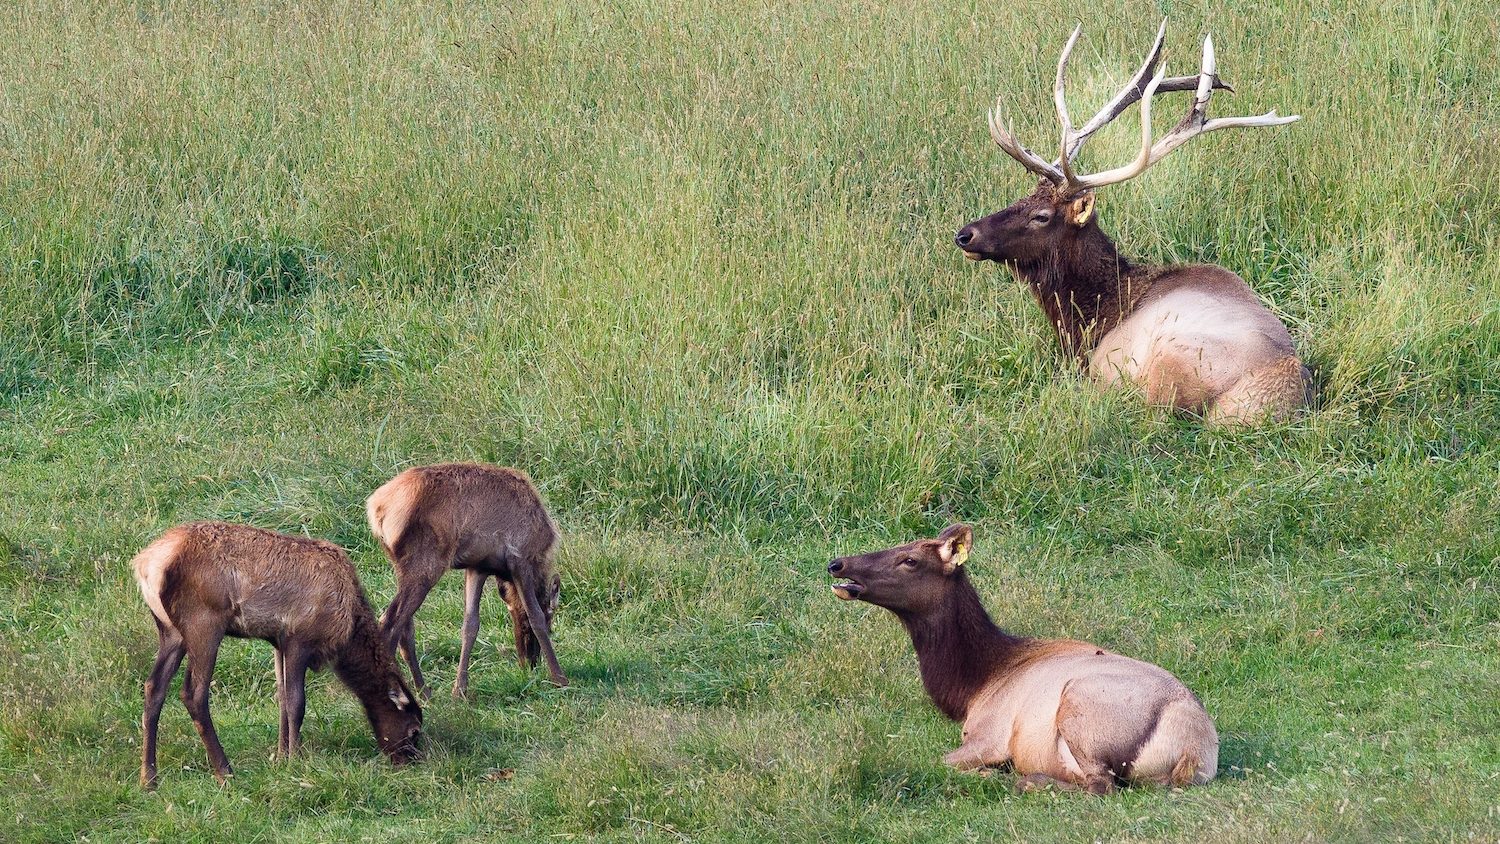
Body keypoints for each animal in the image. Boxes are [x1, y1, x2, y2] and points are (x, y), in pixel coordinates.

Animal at [132, 521, 423, 791]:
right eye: (413, 730)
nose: (412, 763)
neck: (346, 630)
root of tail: (146, 566)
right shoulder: (299, 638)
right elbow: (296, 703)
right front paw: (297, 760)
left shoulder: (278, 643)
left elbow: (282, 698)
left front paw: (281, 757)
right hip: (203, 622)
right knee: (193, 693)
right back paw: (225, 772)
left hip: (171, 632)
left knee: (153, 687)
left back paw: (149, 778)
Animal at [369, 461, 567, 701]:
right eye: (551, 622)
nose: (529, 664)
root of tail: (377, 509)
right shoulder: (520, 558)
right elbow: (535, 614)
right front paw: (559, 678)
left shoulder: (478, 567)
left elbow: (470, 624)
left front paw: (460, 689)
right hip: (425, 566)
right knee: (389, 624)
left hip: (403, 567)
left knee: (405, 629)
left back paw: (424, 691)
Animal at [834, 524, 1218, 797]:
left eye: (910, 560)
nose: (837, 564)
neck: (972, 687)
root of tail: (1192, 749)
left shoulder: (987, 735)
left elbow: (939, 762)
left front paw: (989, 774)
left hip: (1081, 708)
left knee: (1100, 785)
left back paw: (1025, 781)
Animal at [954, 19, 1308, 425]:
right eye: (1022, 197)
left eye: (1041, 216)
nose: (965, 235)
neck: (1095, 314)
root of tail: (1282, 387)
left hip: (1167, 366)